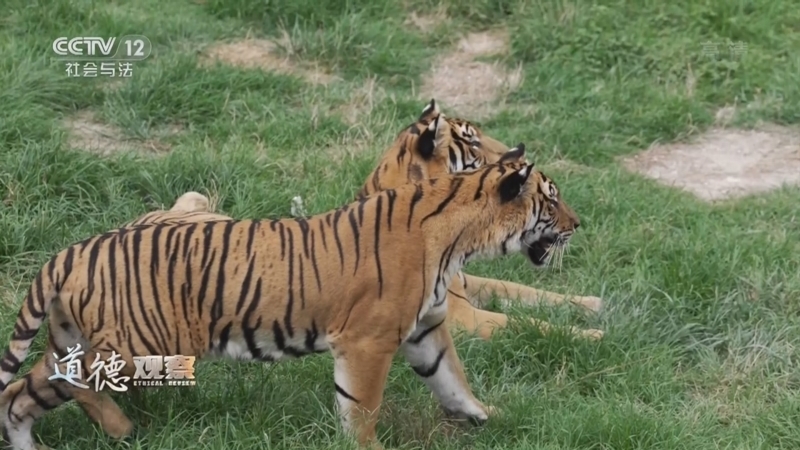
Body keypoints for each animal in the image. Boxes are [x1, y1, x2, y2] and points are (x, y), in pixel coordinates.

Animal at [0, 147, 578, 450]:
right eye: (551, 200)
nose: (579, 225)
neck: (459, 233)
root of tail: (69, 253)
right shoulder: (369, 341)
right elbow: (362, 406)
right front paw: (366, 446)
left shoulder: (426, 328)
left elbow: (453, 380)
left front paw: (487, 417)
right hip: (140, 347)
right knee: (54, 387)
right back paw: (119, 428)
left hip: (77, 340)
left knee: (19, 393)